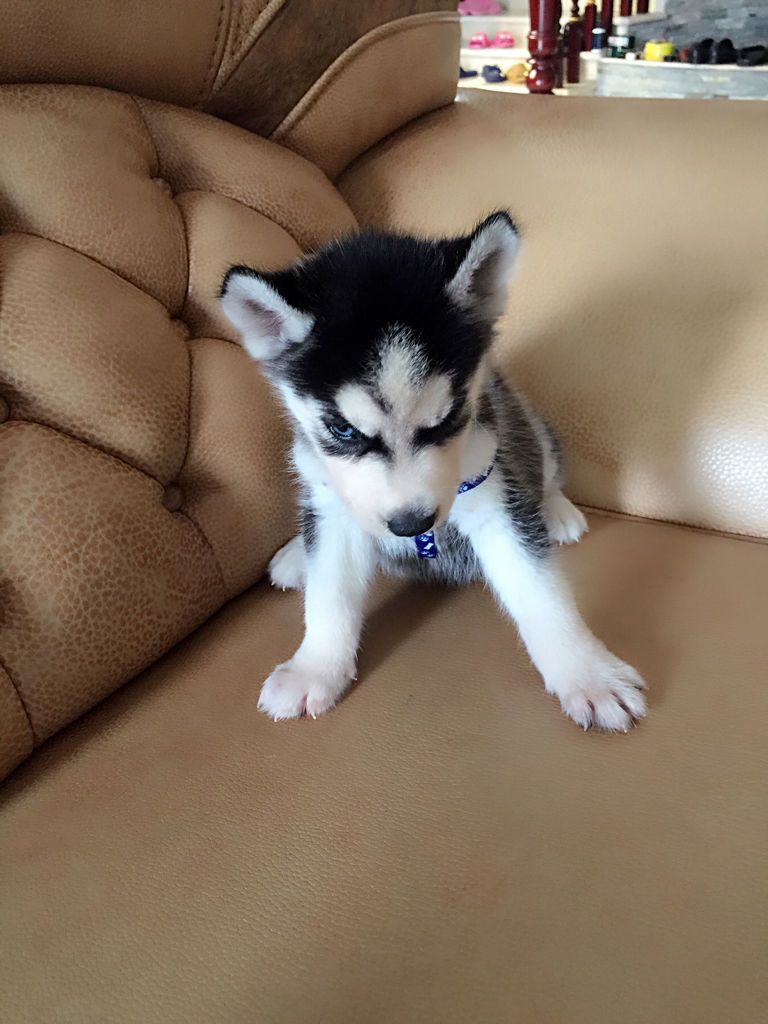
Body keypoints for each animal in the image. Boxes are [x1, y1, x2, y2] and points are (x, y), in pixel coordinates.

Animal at [219, 212, 646, 731]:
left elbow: (540, 592)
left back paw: (556, 510)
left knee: (544, 464)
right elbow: (329, 595)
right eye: (343, 429)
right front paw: (315, 668)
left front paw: (587, 673)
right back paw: (296, 554)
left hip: (525, 422)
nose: (411, 525)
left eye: (447, 418)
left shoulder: (493, 490)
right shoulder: (331, 506)